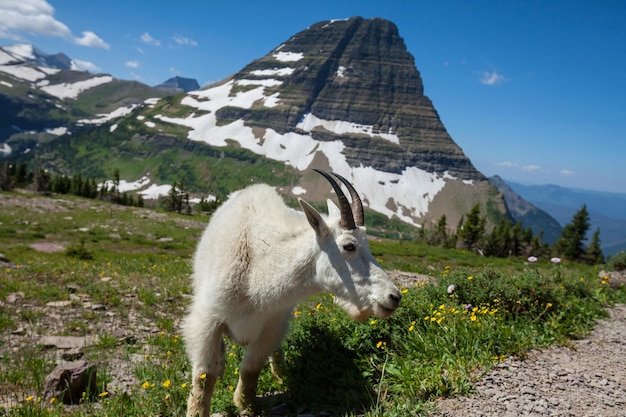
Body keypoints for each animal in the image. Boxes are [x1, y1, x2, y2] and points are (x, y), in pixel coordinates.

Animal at [183, 167, 402, 414]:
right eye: (349, 246)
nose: (393, 297)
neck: (257, 274)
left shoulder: (273, 325)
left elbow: (251, 367)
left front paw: (245, 405)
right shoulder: (207, 321)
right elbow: (205, 374)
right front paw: (197, 411)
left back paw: (281, 375)